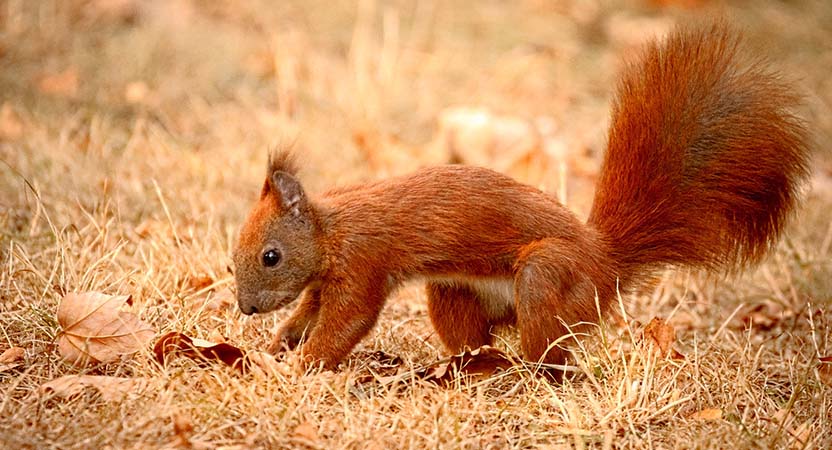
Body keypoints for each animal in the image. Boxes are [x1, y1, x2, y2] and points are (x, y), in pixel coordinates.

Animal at [231, 22, 808, 370]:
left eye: (270, 255)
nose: (246, 308)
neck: (332, 228)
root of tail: (605, 265)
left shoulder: (363, 262)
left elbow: (347, 321)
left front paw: (299, 366)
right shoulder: (325, 280)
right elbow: (308, 312)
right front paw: (278, 343)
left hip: (548, 275)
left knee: (550, 349)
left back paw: (525, 372)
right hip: (456, 290)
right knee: (479, 337)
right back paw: (464, 365)